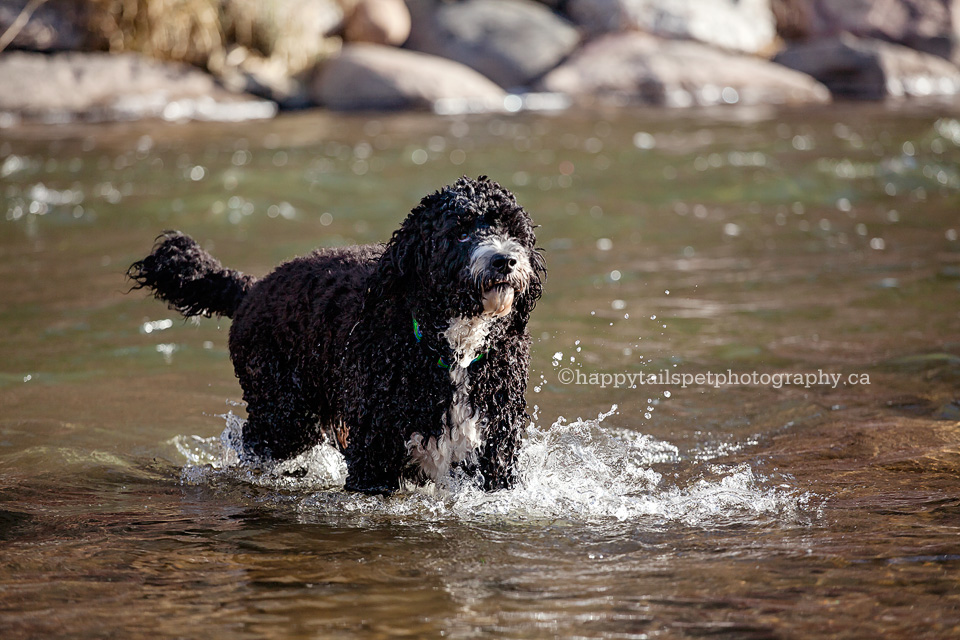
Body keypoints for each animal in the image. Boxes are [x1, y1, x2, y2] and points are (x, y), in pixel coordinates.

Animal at [130, 178, 544, 492]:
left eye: (512, 230)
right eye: (459, 230)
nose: (505, 260)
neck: (452, 347)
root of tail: (251, 287)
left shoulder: (496, 448)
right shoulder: (375, 453)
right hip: (283, 416)